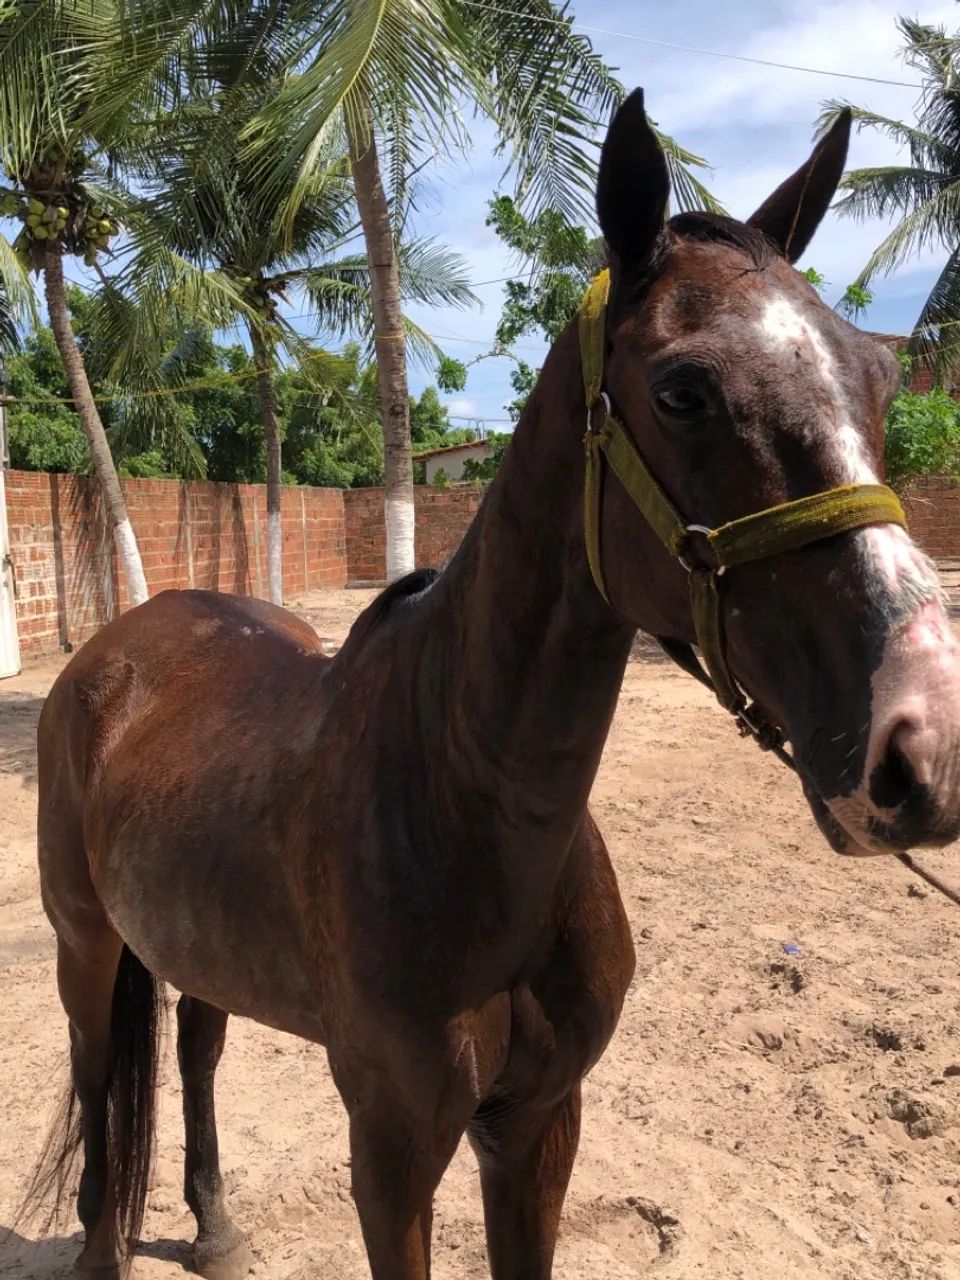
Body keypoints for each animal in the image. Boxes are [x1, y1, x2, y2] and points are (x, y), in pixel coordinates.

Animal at [23, 89, 960, 1280]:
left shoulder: (539, 1124)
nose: (924, 744)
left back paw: (218, 1223)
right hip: (84, 939)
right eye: (684, 391)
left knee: (195, 1044)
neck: (464, 808)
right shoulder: (391, 1153)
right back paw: (105, 1241)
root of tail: (115, 648)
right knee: (99, 1075)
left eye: (877, 379)